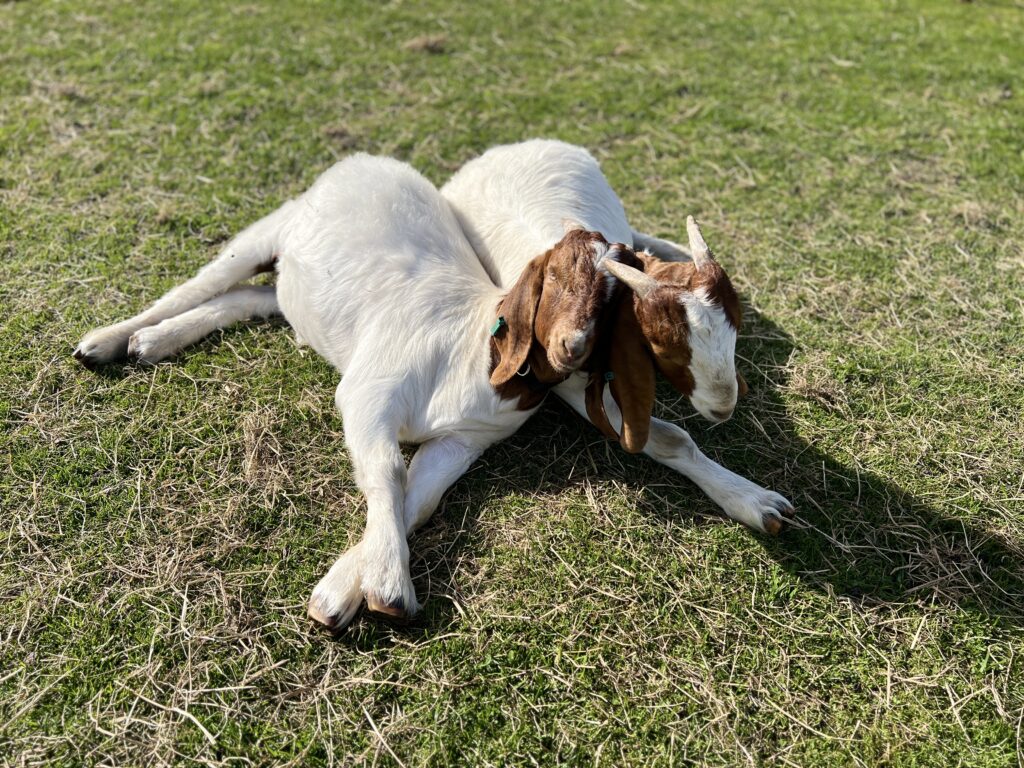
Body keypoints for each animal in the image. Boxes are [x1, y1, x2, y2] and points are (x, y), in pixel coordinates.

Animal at [74, 153, 630, 626]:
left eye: (614, 301)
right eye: (555, 276)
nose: (574, 346)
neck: (473, 346)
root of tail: (369, 161)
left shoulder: (465, 440)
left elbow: (420, 497)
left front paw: (344, 591)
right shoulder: (371, 393)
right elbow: (388, 473)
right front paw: (387, 587)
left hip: (295, 290)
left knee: (245, 298)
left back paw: (153, 342)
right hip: (271, 228)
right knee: (200, 283)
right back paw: (107, 342)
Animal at [438, 138, 790, 536]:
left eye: (735, 334)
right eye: (665, 351)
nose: (724, 408)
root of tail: (501, 150)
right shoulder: (570, 382)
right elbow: (672, 439)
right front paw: (753, 501)